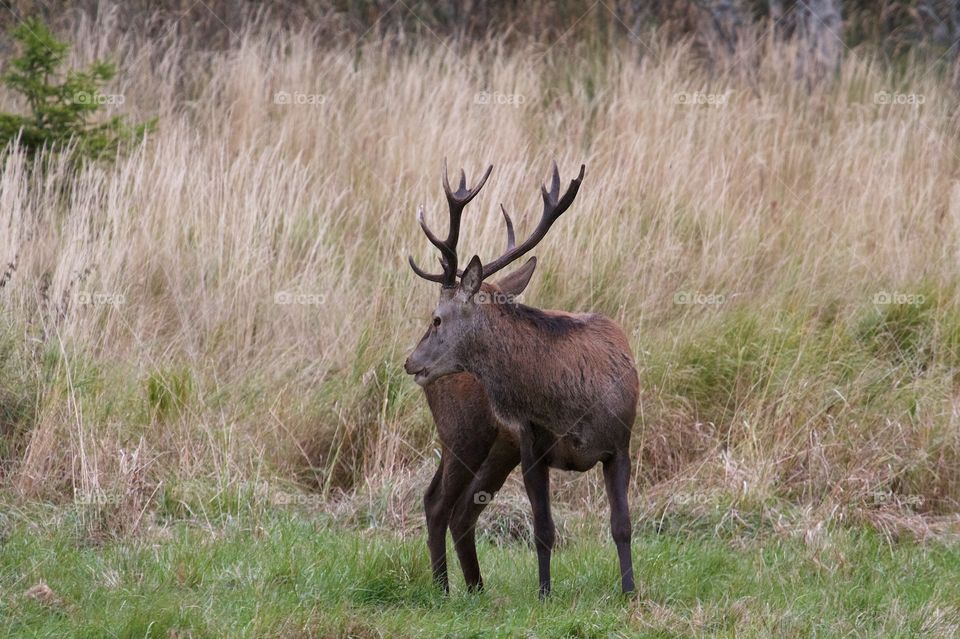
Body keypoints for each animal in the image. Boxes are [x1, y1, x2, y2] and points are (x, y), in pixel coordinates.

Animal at [405, 160, 639, 597]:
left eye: (436, 318)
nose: (410, 362)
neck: (573, 407)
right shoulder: (533, 443)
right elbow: (543, 529)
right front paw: (545, 594)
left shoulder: (620, 443)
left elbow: (622, 525)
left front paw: (630, 592)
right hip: (462, 431)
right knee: (436, 502)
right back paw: (443, 589)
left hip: (497, 447)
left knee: (460, 510)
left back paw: (475, 589)